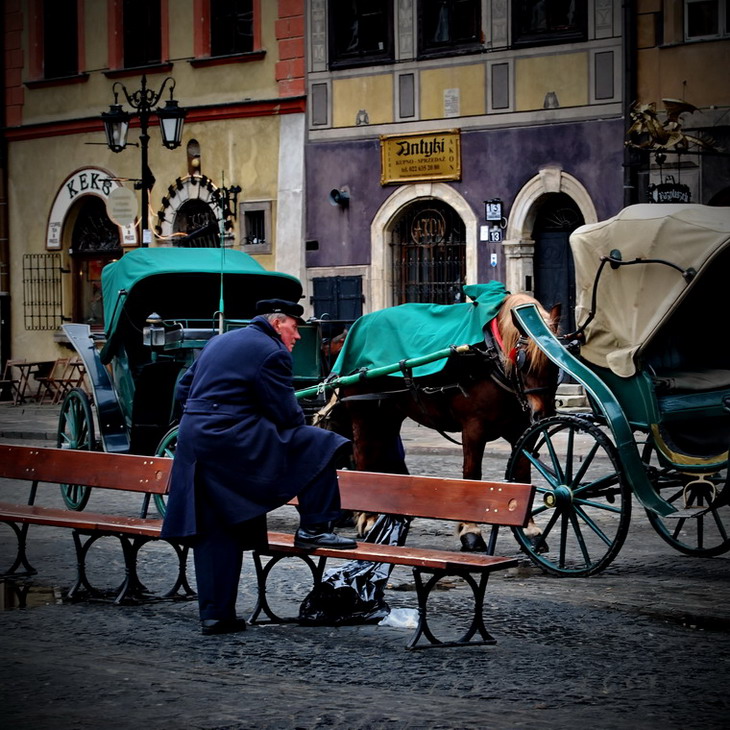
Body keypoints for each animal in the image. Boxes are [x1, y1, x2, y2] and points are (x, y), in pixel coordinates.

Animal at [322, 292, 560, 548]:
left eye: (558, 362)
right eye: (524, 361)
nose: (543, 415)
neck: (490, 357)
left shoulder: (521, 429)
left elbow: (523, 473)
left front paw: (531, 531)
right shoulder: (474, 426)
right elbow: (472, 473)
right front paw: (470, 530)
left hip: (388, 413)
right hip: (363, 413)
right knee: (363, 456)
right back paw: (368, 518)